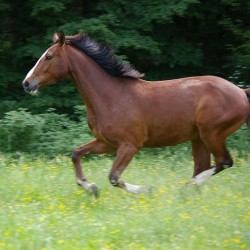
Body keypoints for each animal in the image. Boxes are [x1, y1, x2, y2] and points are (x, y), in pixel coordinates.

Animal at [22, 31, 250, 196]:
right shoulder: (106, 143)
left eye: (49, 56)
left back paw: (186, 186)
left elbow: (113, 177)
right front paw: (90, 187)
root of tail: (240, 91)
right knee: (205, 166)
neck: (111, 96)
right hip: (198, 138)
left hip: (212, 134)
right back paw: (188, 191)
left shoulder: (130, 145)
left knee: (223, 162)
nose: (26, 83)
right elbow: (76, 153)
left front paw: (145, 190)